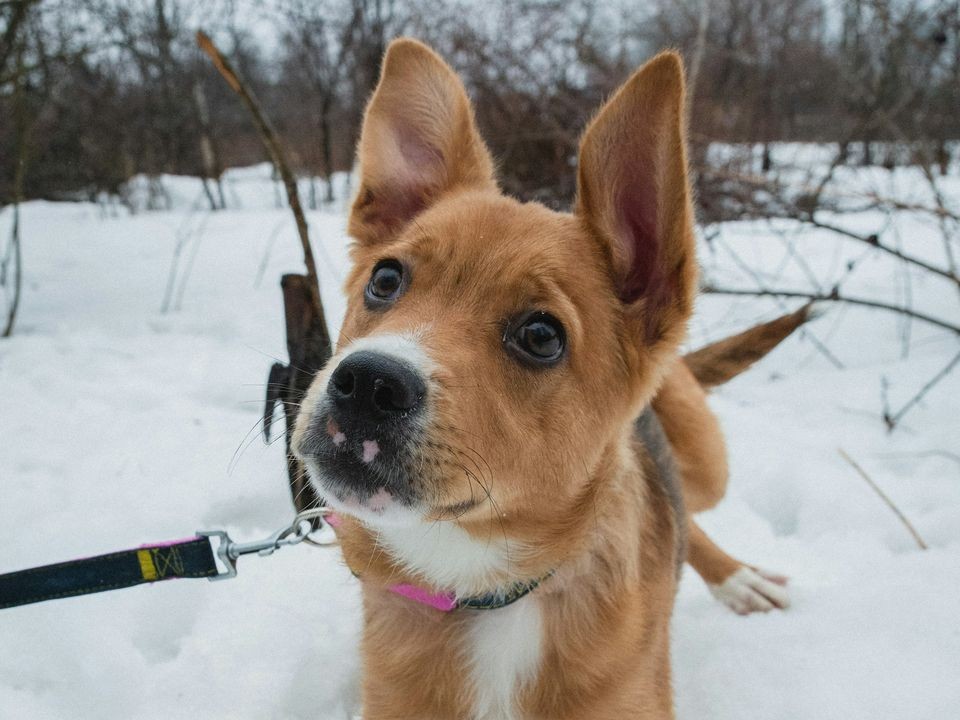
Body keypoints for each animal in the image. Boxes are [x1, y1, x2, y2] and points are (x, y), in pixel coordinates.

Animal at [290, 38, 804, 720]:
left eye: (541, 336)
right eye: (386, 278)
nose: (367, 383)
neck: (486, 588)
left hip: (707, 458)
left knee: (686, 511)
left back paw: (736, 578)